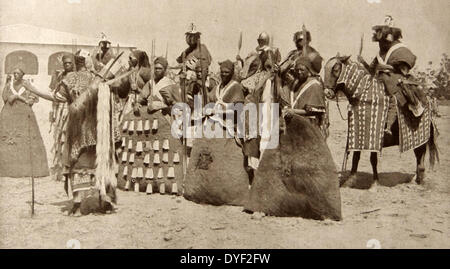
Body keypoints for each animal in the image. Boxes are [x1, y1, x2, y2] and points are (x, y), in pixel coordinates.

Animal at [324, 53, 440, 185]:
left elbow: (373, 159)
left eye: (335, 69)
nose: (327, 93)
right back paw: (415, 179)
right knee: (419, 158)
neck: (364, 96)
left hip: (421, 138)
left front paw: (375, 182)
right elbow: (356, 157)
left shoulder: (375, 136)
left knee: (420, 158)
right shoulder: (358, 136)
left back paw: (418, 180)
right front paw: (351, 179)